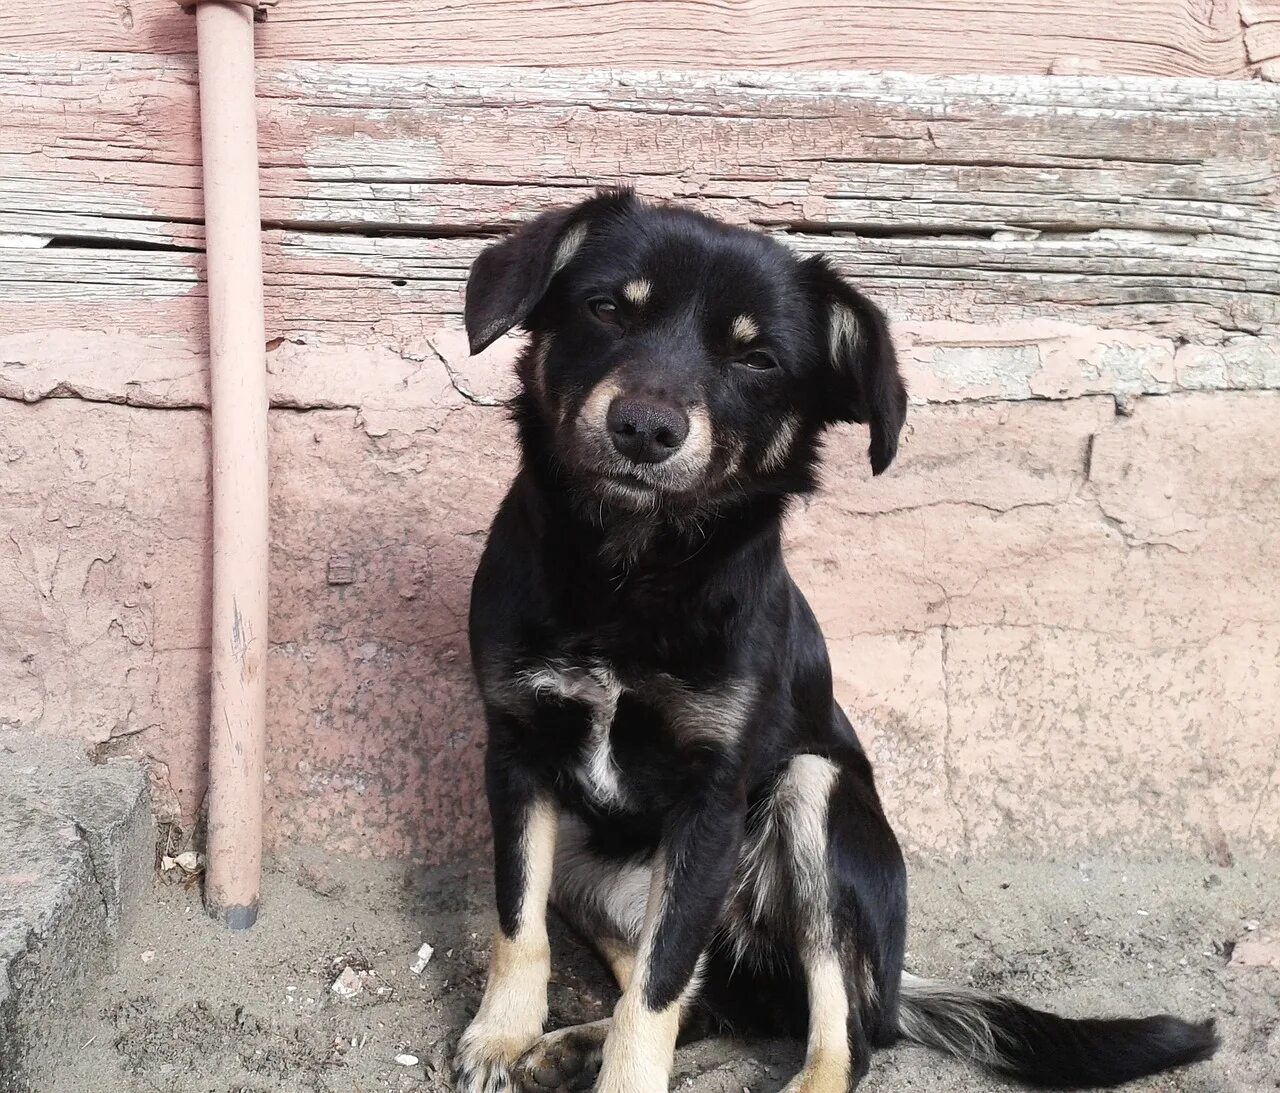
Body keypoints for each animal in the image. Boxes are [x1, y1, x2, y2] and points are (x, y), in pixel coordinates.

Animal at [450, 190, 1218, 1093]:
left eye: (757, 359)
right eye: (607, 310)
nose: (644, 428)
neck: (629, 574)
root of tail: (893, 975)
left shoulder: (712, 800)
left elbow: (659, 985)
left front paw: (616, 1072)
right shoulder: (518, 753)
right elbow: (519, 921)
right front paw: (502, 1034)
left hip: (813, 795)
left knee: (844, 1029)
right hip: (585, 858)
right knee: (713, 1001)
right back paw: (569, 1044)